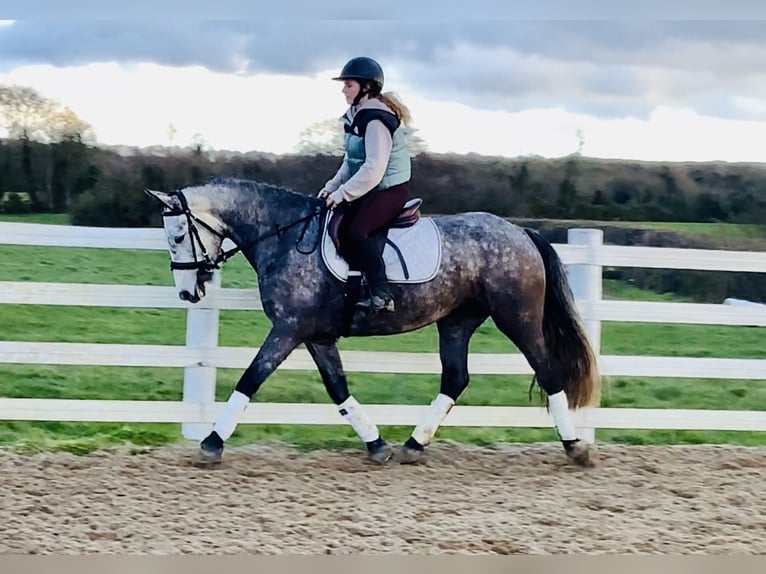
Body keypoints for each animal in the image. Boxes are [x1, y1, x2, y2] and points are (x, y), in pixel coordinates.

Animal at [146, 177, 601, 467]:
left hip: (518, 318)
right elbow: (338, 388)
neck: (285, 236)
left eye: (178, 236)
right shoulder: (317, 336)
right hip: (457, 321)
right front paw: (377, 445)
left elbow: (250, 379)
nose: (188, 294)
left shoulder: (289, 329)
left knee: (547, 371)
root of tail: (520, 233)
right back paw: (414, 445)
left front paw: (211, 443)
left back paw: (575, 447)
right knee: (455, 379)